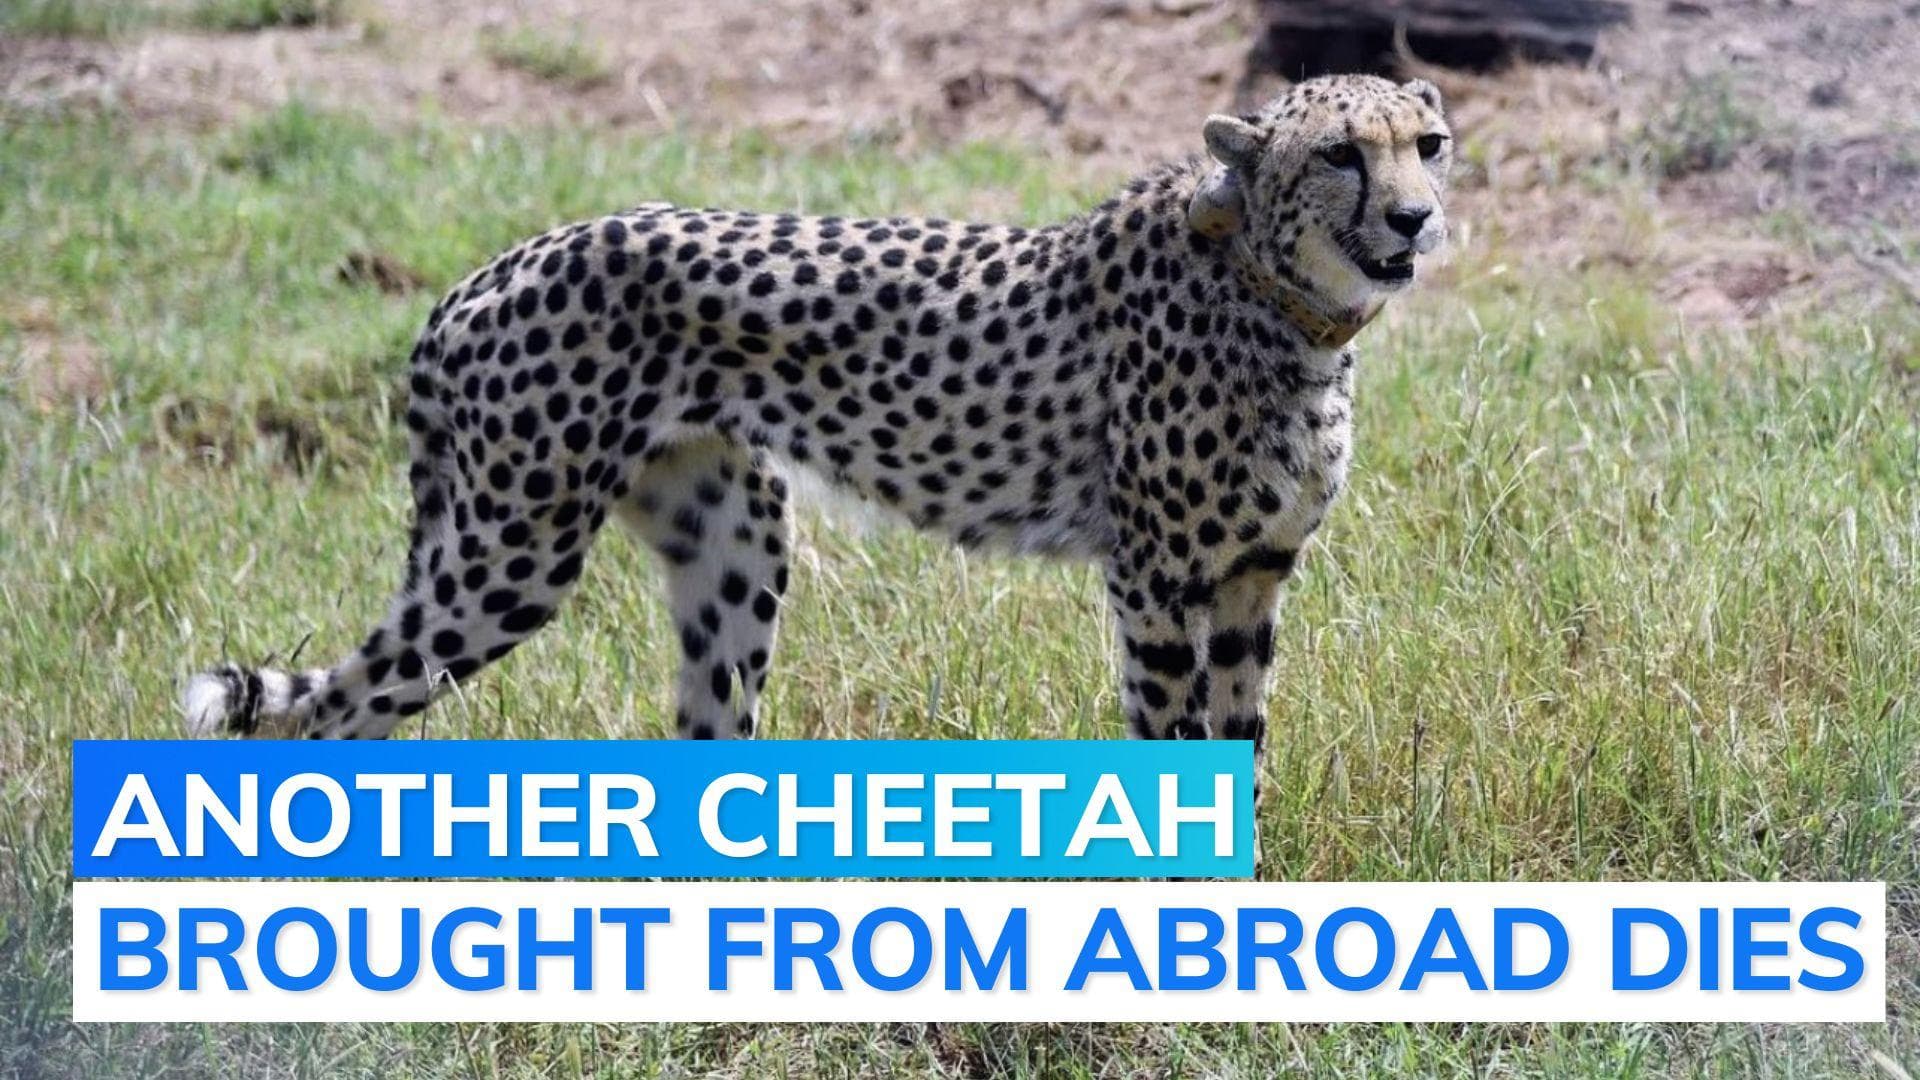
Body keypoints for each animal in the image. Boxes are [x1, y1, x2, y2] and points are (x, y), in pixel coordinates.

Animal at [182, 73, 1454, 755]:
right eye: (1341, 155)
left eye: (1429, 145)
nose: (1415, 218)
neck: (1283, 300)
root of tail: (487, 270)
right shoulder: (1157, 577)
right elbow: (1175, 745)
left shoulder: (1252, 575)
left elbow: (1239, 740)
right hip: (509, 556)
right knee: (330, 713)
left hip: (733, 538)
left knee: (705, 726)